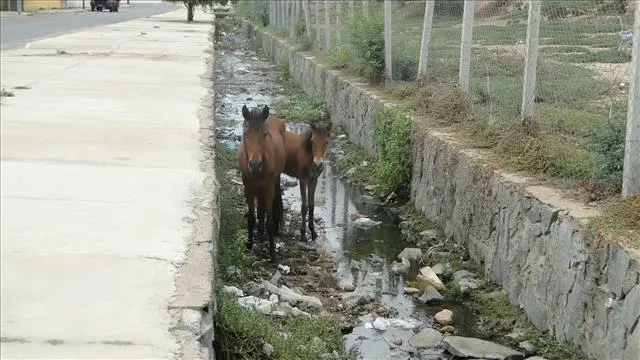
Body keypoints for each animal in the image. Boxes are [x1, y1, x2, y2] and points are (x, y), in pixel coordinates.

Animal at [235, 104, 284, 262]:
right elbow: (251, 217)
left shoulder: (269, 188)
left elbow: (269, 221)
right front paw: (249, 244)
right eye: (245, 134)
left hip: (275, 180)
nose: (255, 165)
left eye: (265, 134)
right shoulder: (248, 188)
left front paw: (273, 253)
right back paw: (260, 231)